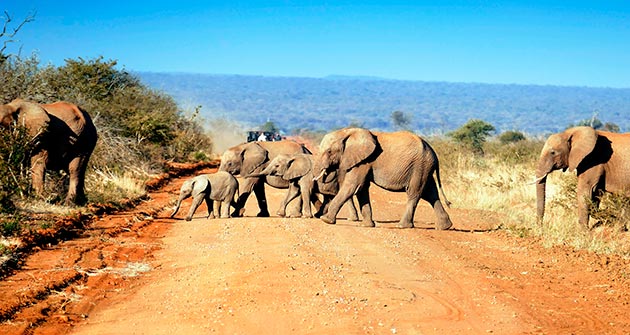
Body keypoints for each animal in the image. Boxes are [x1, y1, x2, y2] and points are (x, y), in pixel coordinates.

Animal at [316, 127, 454, 230]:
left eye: (329, 151)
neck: (347, 132)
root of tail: (435, 155)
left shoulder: (364, 161)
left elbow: (353, 186)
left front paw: (325, 220)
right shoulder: (363, 161)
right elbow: (362, 189)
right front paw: (366, 225)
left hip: (419, 167)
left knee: (414, 193)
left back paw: (402, 226)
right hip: (425, 168)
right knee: (430, 194)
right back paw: (444, 227)